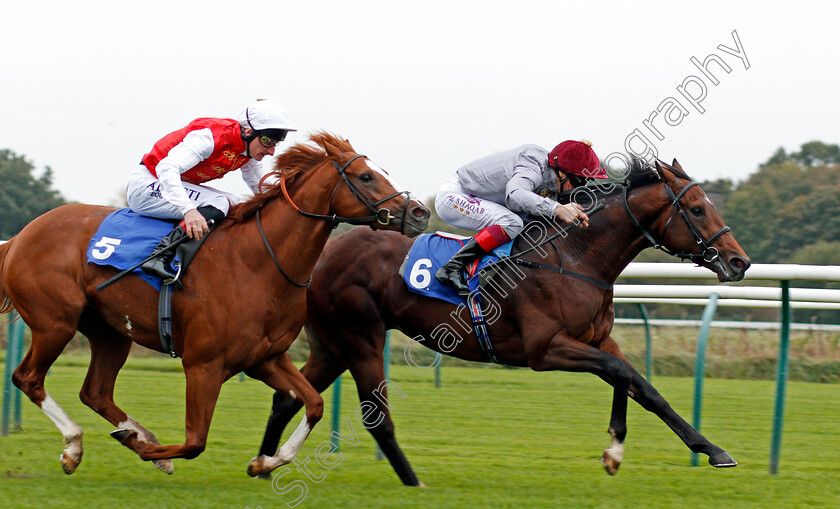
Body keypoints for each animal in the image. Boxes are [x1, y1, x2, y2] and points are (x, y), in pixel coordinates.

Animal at [0, 131, 430, 472]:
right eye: (366, 176)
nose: (420, 212)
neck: (258, 263)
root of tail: (19, 237)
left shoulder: (266, 359)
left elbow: (312, 404)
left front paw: (265, 462)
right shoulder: (203, 365)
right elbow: (195, 441)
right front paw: (152, 451)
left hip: (110, 332)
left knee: (95, 392)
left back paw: (134, 433)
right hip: (55, 322)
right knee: (28, 378)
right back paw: (78, 444)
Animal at [254, 158, 748, 480]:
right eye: (698, 208)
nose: (738, 262)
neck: (575, 257)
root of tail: (321, 257)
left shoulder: (598, 340)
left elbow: (643, 387)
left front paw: (709, 449)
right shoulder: (545, 349)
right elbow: (621, 373)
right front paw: (616, 449)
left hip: (332, 344)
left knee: (288, 398)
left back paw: (265, 462)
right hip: (360, 338)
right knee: (373, 416)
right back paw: (412, 482)